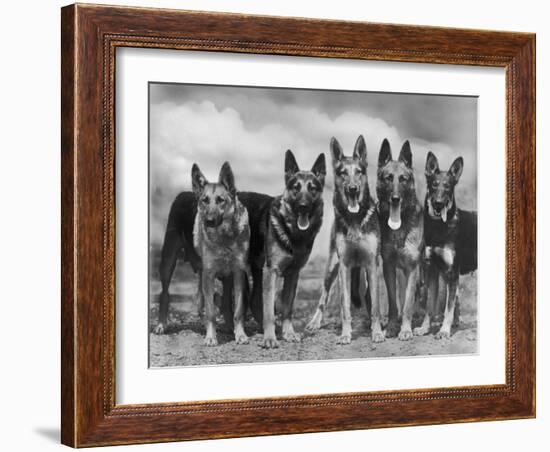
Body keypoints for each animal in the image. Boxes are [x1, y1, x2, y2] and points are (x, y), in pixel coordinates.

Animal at [260, 150, 326, 348]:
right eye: (296, 188)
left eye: (312, 189)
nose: (303, 206)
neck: (294, 234)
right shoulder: (270, 272)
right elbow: (269, 311)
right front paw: (270, 338)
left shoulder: (293, 273)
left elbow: (287, 308)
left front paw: (288, 333)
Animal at [306, 136, 384, 344]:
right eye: (343, 173)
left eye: (359, 172)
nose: (353, 189)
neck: (355, 218)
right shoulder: (344, 267)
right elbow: (344, 305)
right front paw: (346, 334)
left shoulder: (372, 264)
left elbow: (375, 305)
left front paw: (377, 332)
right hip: (331, 268)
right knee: (323, 297)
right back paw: (314, 322)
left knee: (368, 298)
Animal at [418, 152, 478, 340]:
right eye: (434, 185)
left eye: (448, 187)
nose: (438, 203)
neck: (439, 227)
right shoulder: (432, 269)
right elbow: (430, 304)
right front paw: (425, 328)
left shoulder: (452, 273)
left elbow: (448, 308)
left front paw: (444, 331)